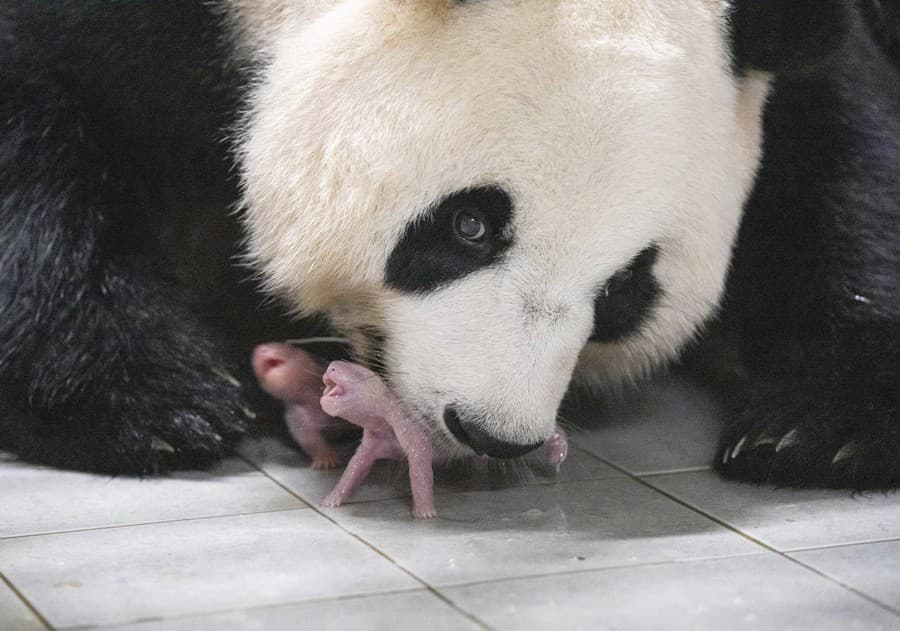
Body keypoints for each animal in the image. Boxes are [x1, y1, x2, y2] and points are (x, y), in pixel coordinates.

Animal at [0, 1, 896, 488]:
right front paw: (152, 400)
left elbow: (844, 152)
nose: (493, 430)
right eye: (470, 225)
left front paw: (817, 428)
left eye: (624, 291)